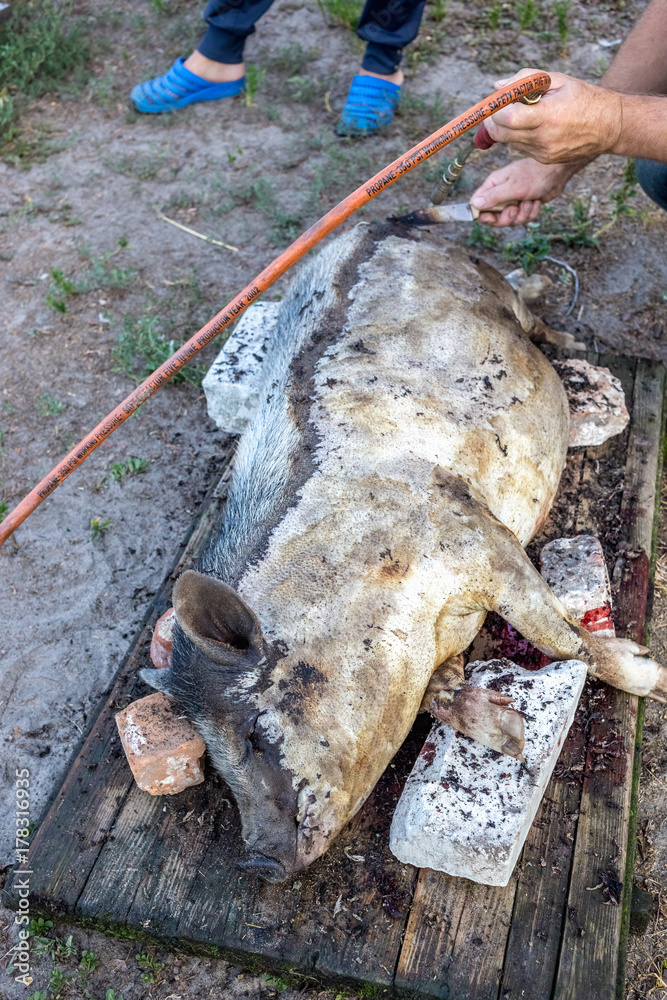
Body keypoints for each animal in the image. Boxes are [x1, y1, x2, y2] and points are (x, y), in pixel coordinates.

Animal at [141, 223, 666, 882]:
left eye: (257, 733)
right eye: (212, 757)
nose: (256, 862)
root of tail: (386, 222)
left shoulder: (472, 530)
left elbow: (561, 638)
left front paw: (653, 677)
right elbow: (444, 694)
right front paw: (512, 732)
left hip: (488, 283)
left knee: (528, 304)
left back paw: (568, 334)